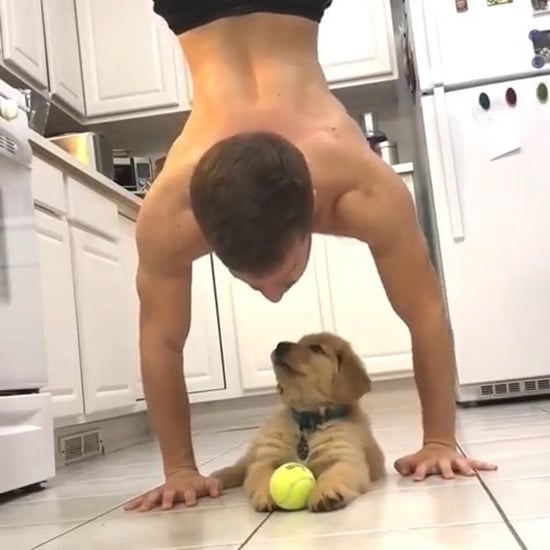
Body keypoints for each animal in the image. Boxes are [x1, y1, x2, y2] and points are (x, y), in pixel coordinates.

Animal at [211, 334, 388, 516]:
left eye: (317, 348)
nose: (280, 345)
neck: (307, 422)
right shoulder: (265, 460)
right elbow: (261, 473)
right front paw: (265, 495)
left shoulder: (348, 460)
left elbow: (336, 473)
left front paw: (326, 492)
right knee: (242, 465)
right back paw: (219, 476)